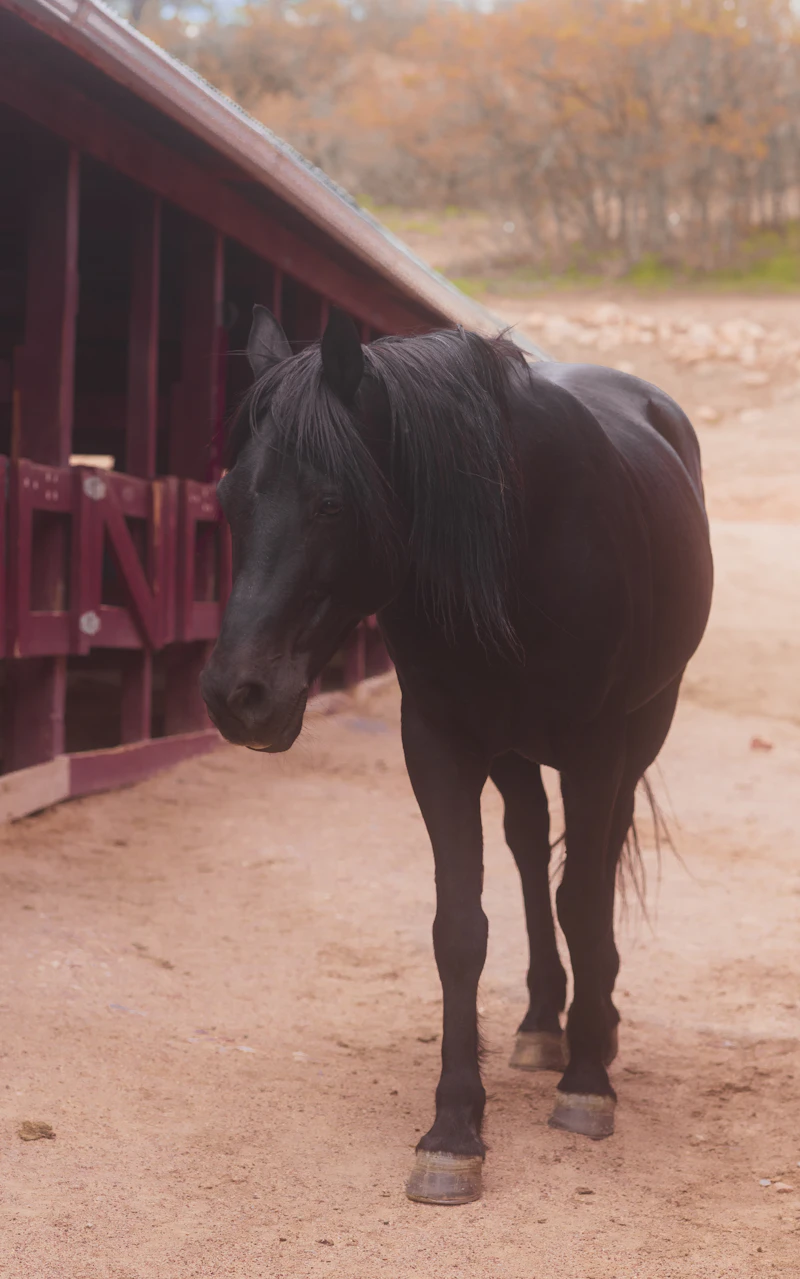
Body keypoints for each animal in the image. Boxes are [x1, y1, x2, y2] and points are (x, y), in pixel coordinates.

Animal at [200, 305, 713, 1205]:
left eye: (330, 501)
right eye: (230, 499)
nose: (239, 695)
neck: (526, 539)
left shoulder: (595, 744)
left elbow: (584, 898)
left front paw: (588, 1085)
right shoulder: (440, 741)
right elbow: (460, 926)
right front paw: (453, 1129)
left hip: (641, 729)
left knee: (595, 858)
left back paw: (596, 1029)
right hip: (513, 750)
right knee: (530, 848)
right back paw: (543, 1023)